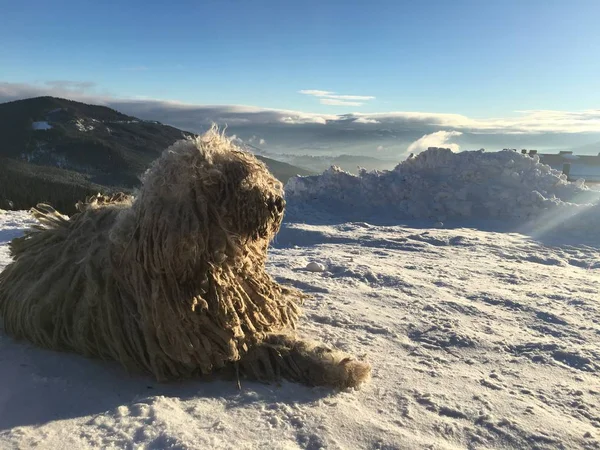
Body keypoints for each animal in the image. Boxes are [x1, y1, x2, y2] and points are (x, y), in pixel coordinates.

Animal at [0, 128, 370, 388]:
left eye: (245, 166)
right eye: (223, 182)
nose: (276, 201)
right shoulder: (205, 342)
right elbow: (276, 346)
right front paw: (343, 366)